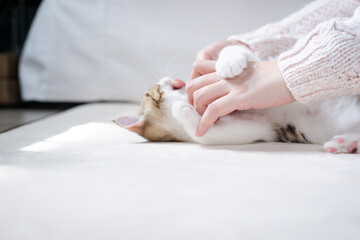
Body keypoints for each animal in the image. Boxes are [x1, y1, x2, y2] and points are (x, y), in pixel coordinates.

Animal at [116, 45, 360, 154]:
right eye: (154, 93)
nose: (171, 79)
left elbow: (236, 48)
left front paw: (228, 62)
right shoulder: (259, 128)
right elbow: (210, 136)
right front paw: (180, 108)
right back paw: (346, 144)